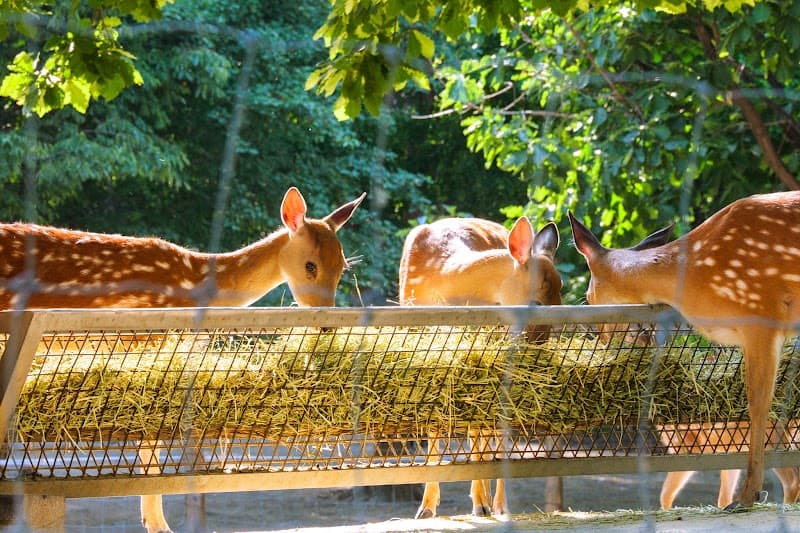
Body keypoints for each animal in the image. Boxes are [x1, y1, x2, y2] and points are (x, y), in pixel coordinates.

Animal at [0, 186, 365, 533]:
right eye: (310, 265)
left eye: (342, 267)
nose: (327, 323)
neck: (195, 284)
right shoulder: (144, 341)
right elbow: (150, 436)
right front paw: (157, 524)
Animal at [398, 215, 562, 519]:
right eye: (536, 302)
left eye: (562, 298)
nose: (539, 348)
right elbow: (435, 428)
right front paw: (426, 507)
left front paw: (481, 502)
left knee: (493, 432)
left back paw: (495, 504)